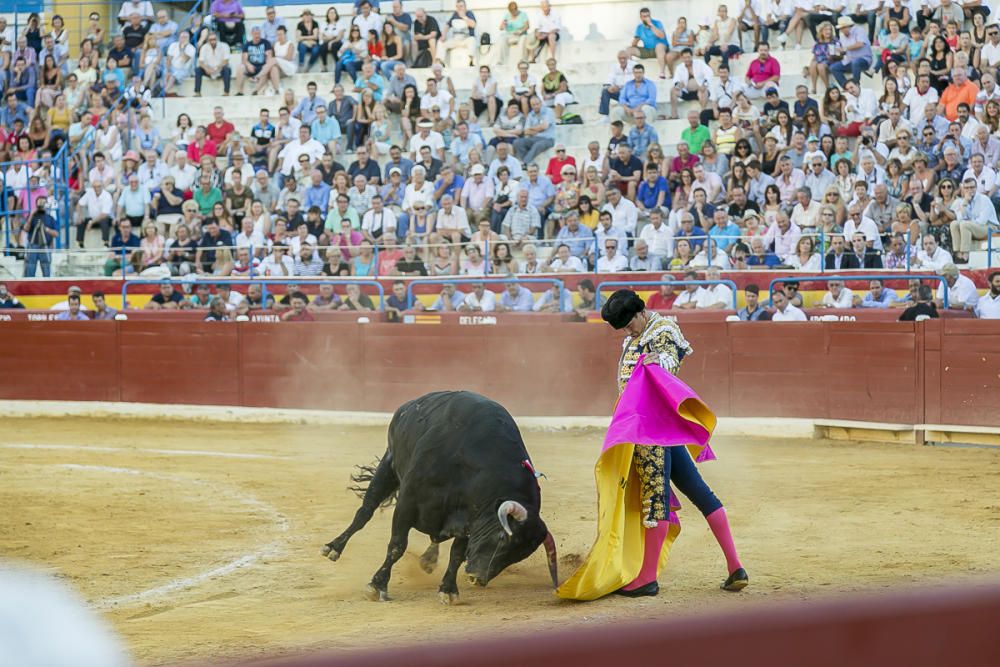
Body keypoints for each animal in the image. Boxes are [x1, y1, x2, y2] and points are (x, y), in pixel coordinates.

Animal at [320, 392, 560, 604]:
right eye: (503, 537)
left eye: (520, 555)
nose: (478, 578)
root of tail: (410, 404)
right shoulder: (407, 503)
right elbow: (397, 545)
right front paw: (377, 585)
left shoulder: (471, 520)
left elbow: (457, 554)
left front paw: (448, 590)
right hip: (388, 466)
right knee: (365, 512)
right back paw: (333, 547)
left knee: (436, 538)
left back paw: (428, 559)